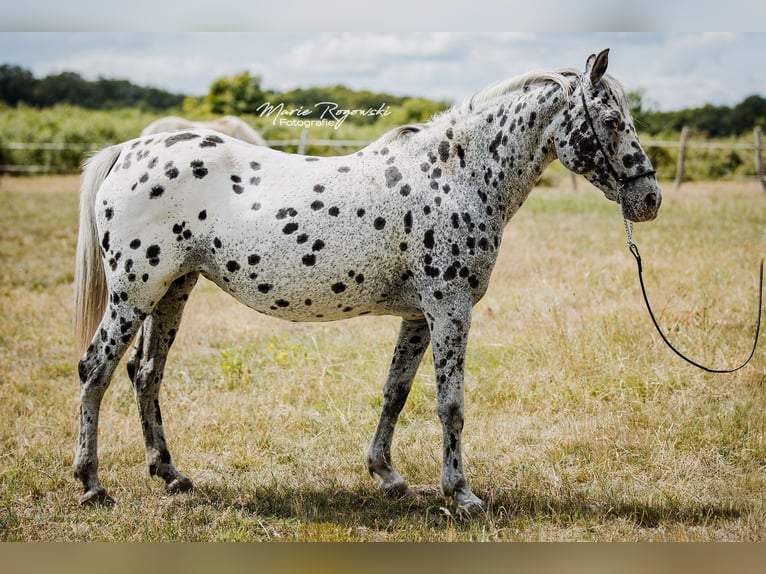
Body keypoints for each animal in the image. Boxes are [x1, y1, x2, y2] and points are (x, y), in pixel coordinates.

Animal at [72, 49, 661, 512]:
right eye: (611, 120)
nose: (649, 199)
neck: (458, 177)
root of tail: (129, 151)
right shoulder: (450, 309)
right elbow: (451, 405)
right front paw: (461, 495)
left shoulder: (419, 317)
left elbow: (395, 393)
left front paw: (389, 476)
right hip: (133, 295)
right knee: (95, 369)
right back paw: (92, 484)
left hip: (172, 290)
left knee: (146, 373)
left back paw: (171, 475)